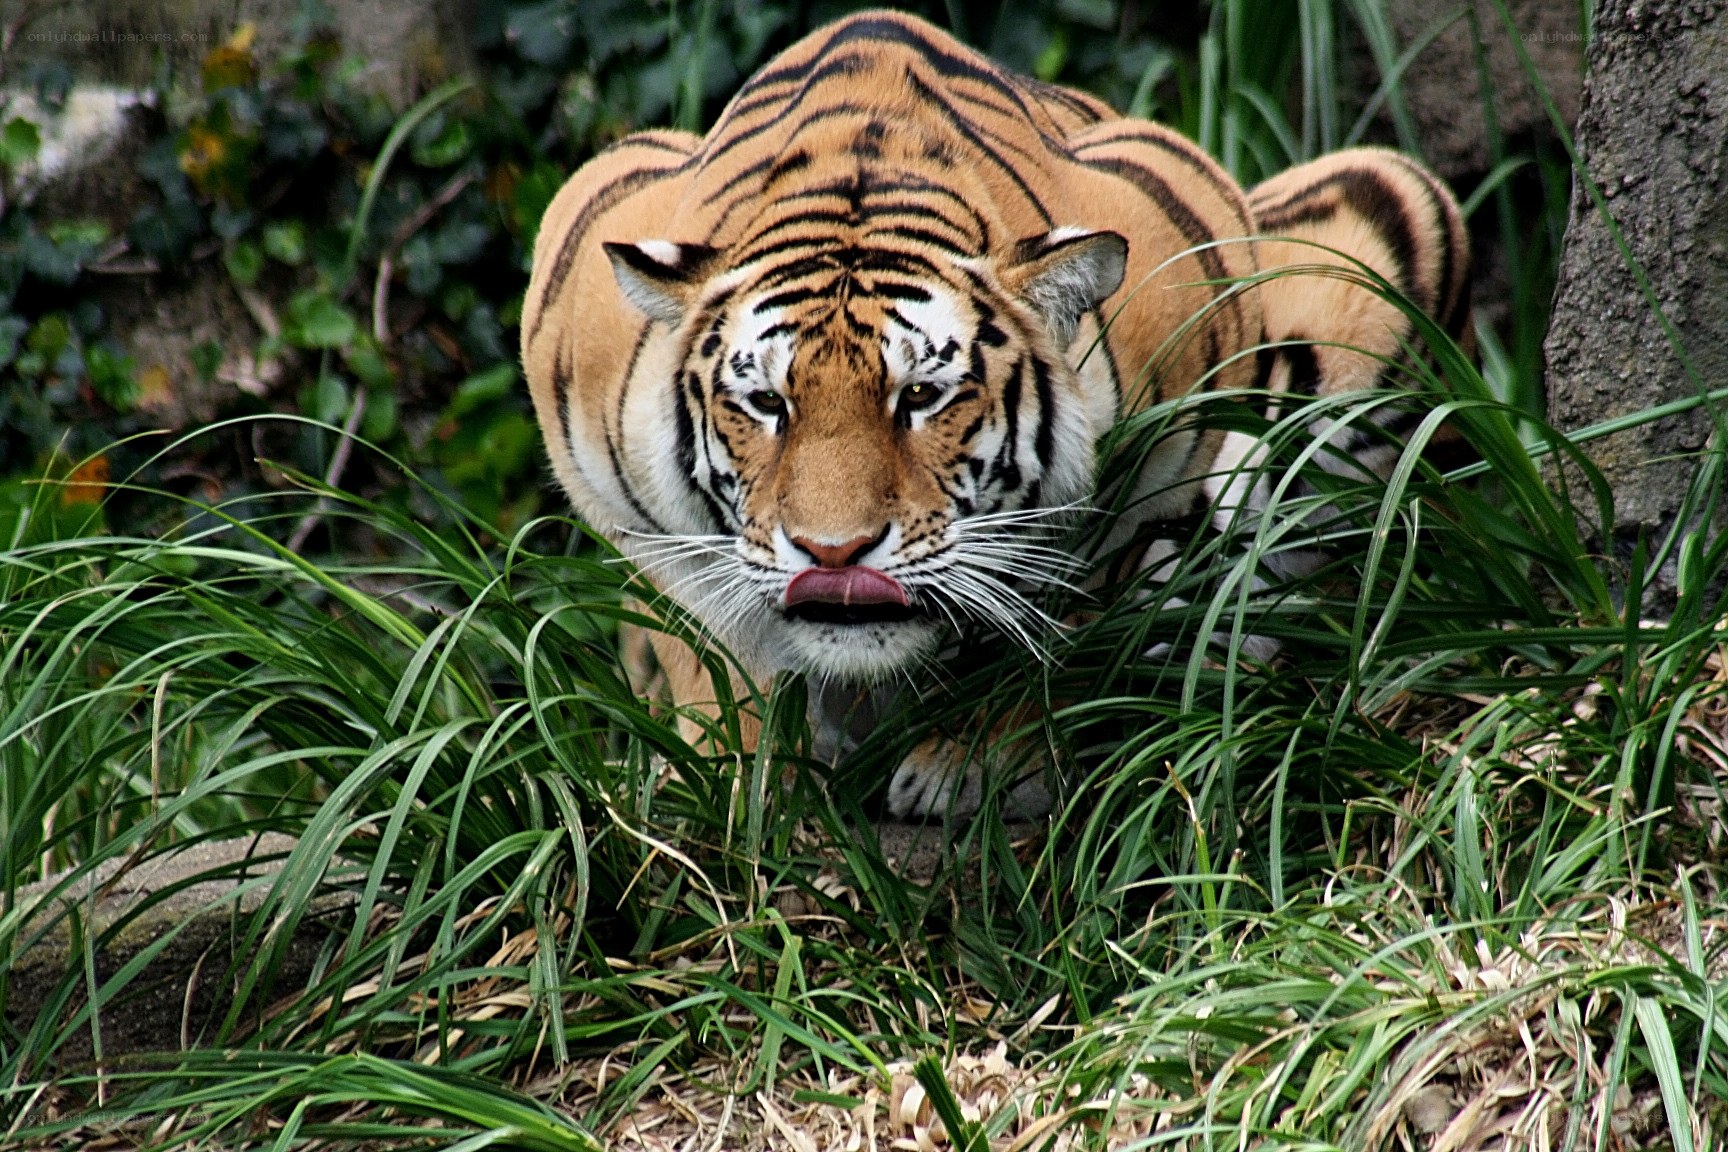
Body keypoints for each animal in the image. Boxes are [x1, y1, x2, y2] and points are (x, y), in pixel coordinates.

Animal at [520, 10, 1472, 819]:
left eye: (920, 397)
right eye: (766, 404)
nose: (834, 556)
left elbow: (1062, 610)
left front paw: (974, 764)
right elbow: (707, 639)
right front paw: (734, 774)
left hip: (1384, 218)